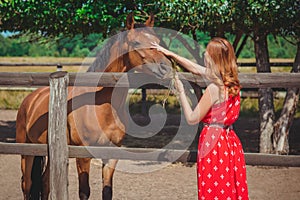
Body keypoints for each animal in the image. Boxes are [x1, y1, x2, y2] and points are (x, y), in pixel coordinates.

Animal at [15, 13, 171, 199]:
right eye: (136, 43)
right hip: (26, 152)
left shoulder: (111, 154)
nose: (165, 68)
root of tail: (31, 99)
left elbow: (107, 190)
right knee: (27, 185)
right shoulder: (83, 155)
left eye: (157, 41)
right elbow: (84, 191)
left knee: (45, 183)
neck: (100, 106)